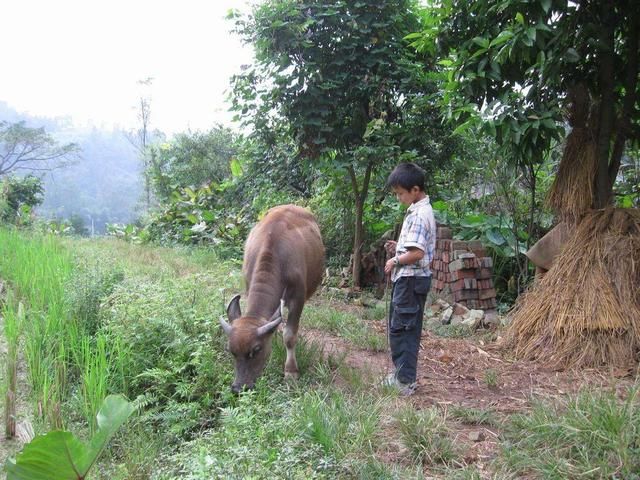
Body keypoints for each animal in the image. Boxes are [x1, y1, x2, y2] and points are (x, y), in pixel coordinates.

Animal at [220, 204, 324, 392]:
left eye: (256, 349)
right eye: (231, 350)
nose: (239, 388)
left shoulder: (298, 298)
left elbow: (290, 335)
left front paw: (291, 371)